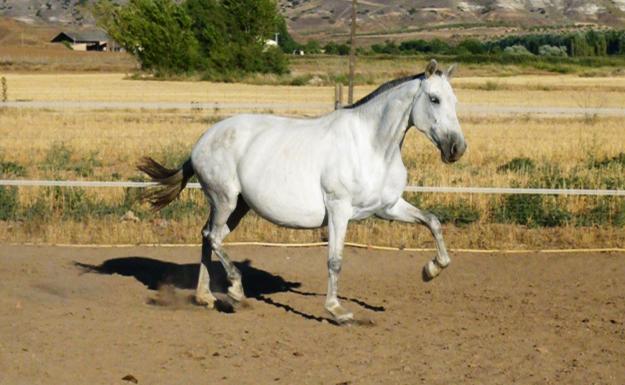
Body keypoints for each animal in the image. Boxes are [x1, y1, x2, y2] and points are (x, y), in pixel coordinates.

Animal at [139, 59, 466, 320]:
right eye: (434, 99)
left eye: (455, 100)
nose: (456, 148)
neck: (371, 146)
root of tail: (201, 142)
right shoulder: (339, 209)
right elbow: (335, 261)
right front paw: (337, 311)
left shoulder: (388, 207)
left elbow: (433, 222)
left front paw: (431, 270)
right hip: (225, 200)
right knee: (213, 237)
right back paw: (236, 291)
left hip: (237, 207)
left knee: (207, 237)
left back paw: (205, 297)